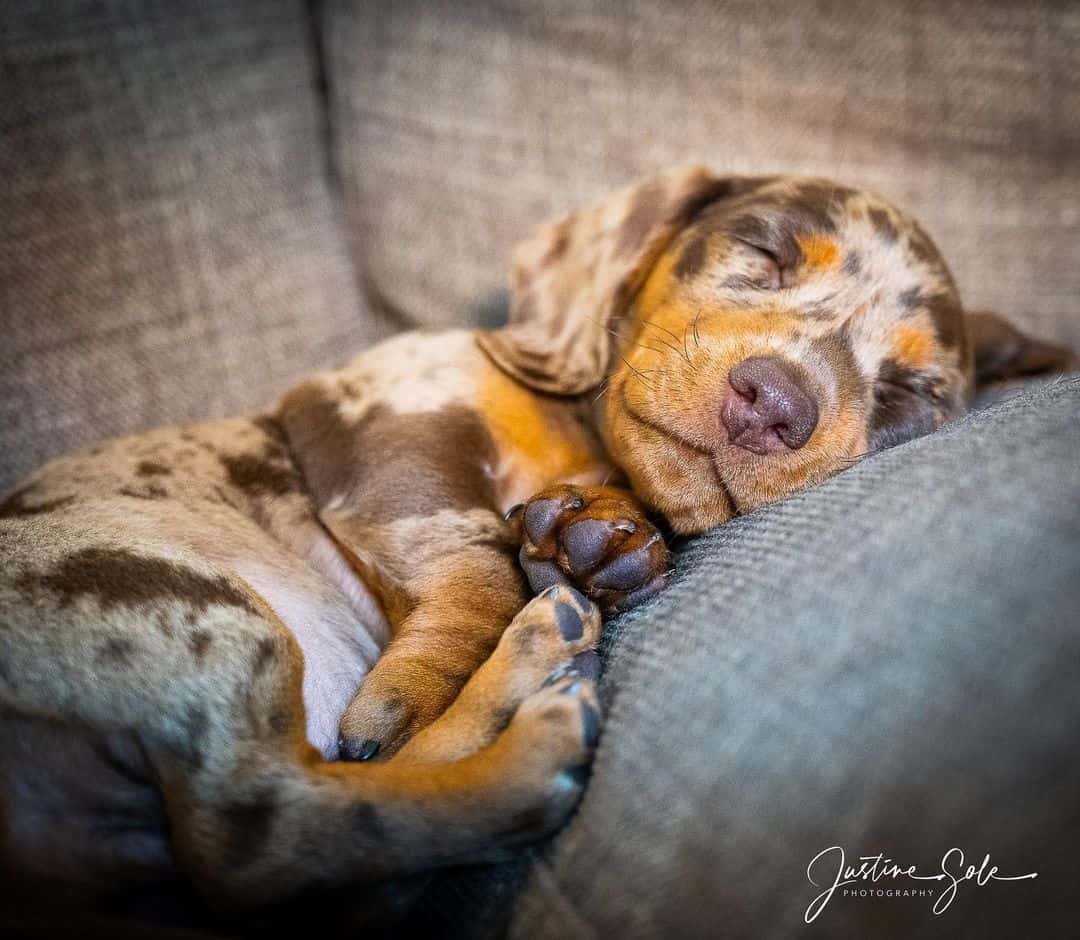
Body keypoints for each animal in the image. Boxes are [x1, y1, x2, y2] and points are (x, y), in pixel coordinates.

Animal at [0, 165, 1071, 907]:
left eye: (909, 394)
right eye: (763, 254)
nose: (775, 405)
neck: (574, 429)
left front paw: (608, 538)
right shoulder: (387, 404)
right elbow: (469, 548)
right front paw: (434, 665)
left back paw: (536, 673)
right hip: (169, 585)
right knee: (263, 834)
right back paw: (525, 716)